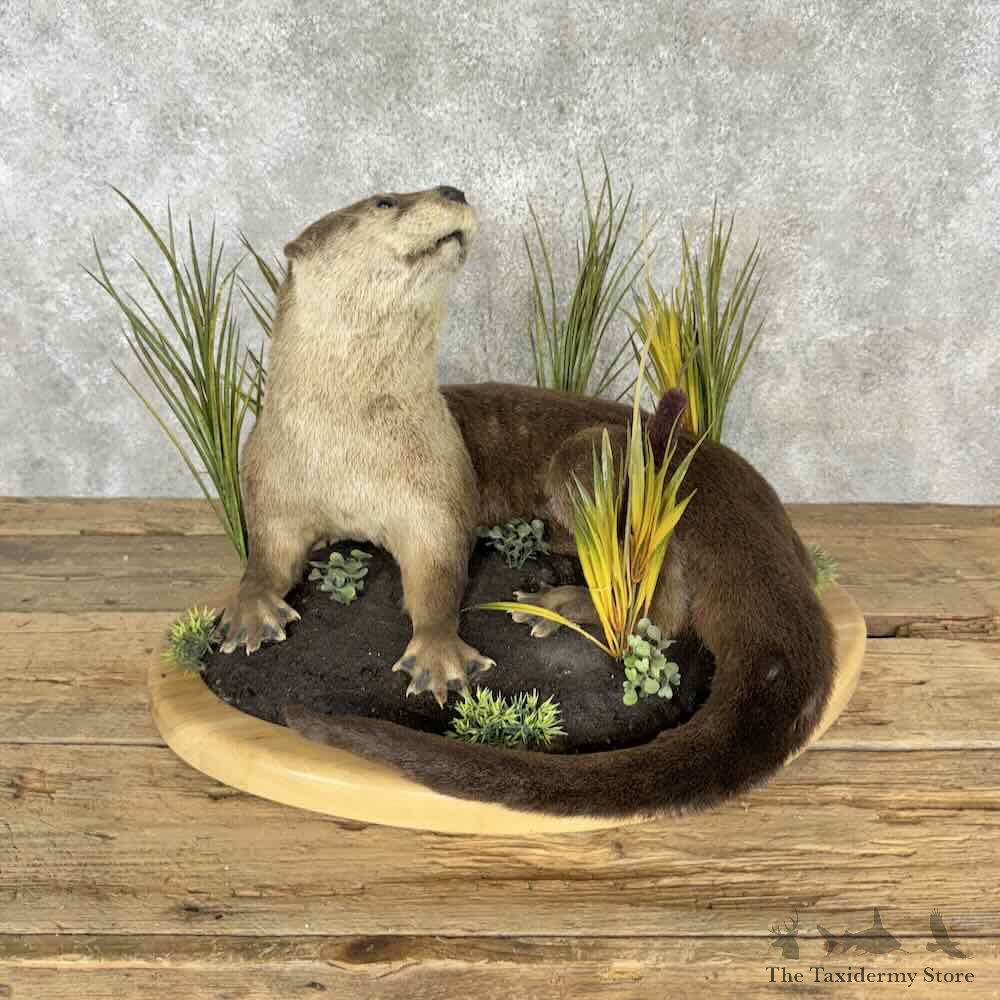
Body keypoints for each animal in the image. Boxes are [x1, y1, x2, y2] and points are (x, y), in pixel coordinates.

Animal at [222, 187, 835, 819]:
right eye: (385, 201)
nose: (452, 191)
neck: (350, 452)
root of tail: (757, 529)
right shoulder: (269, 482)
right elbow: (267, 554)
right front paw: (251, 610)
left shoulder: (435, 492)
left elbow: (438, 569)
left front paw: (438, 654)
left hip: (605, 470)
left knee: (657, 611)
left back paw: (560, 605)